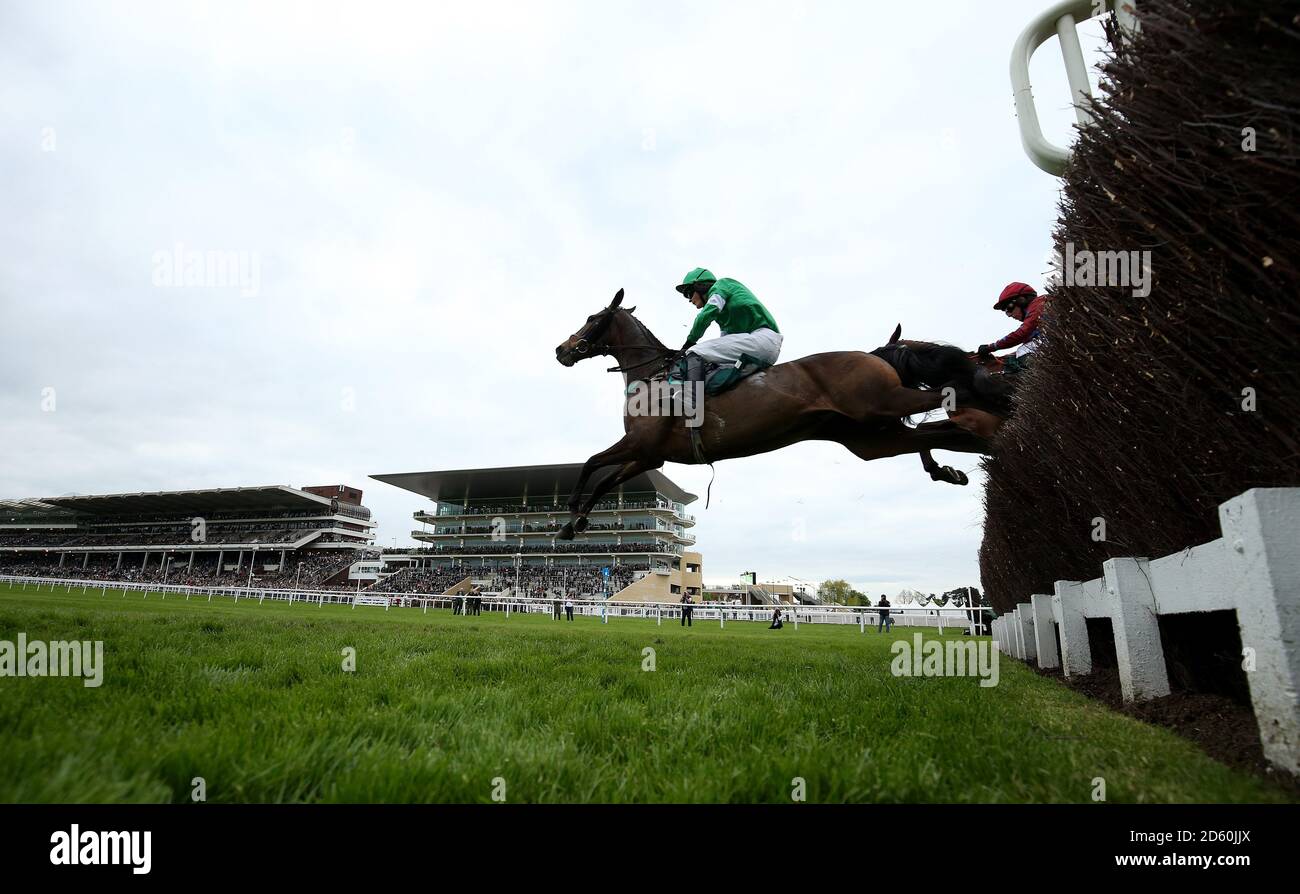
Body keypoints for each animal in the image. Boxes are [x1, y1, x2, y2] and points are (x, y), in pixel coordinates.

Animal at [553, 289, 987, 537]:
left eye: (592, 319)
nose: (562, 349)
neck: (653, 375)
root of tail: (872, 353)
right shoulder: (649, 454)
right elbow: (605, 481)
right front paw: (575, 524)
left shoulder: (641, 444)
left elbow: (592, 464)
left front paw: (571, 510)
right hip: (871, 436)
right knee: (933, 433)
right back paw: (950, 467)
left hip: (881, 403)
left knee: (953, 398)